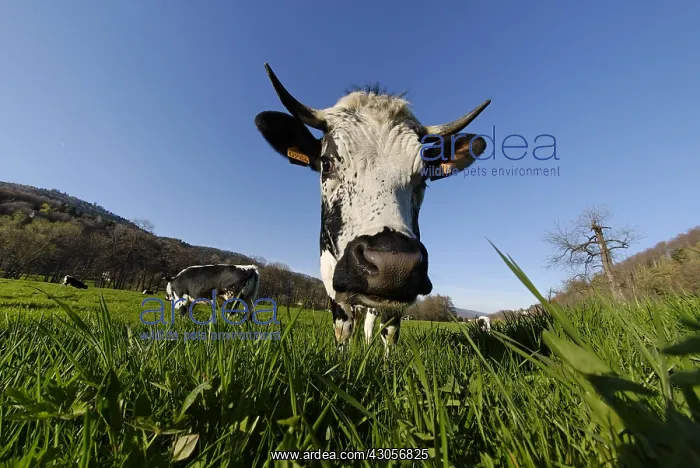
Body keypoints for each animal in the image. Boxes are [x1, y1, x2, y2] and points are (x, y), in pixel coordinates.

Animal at [254, 64, 490, 356]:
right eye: (326, 163)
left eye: (424, 175)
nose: (392, 264)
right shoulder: (332, 282)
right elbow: (343, 329)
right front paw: (342, 361)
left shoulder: (397, 295)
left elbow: (389, 332)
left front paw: (385, 363)